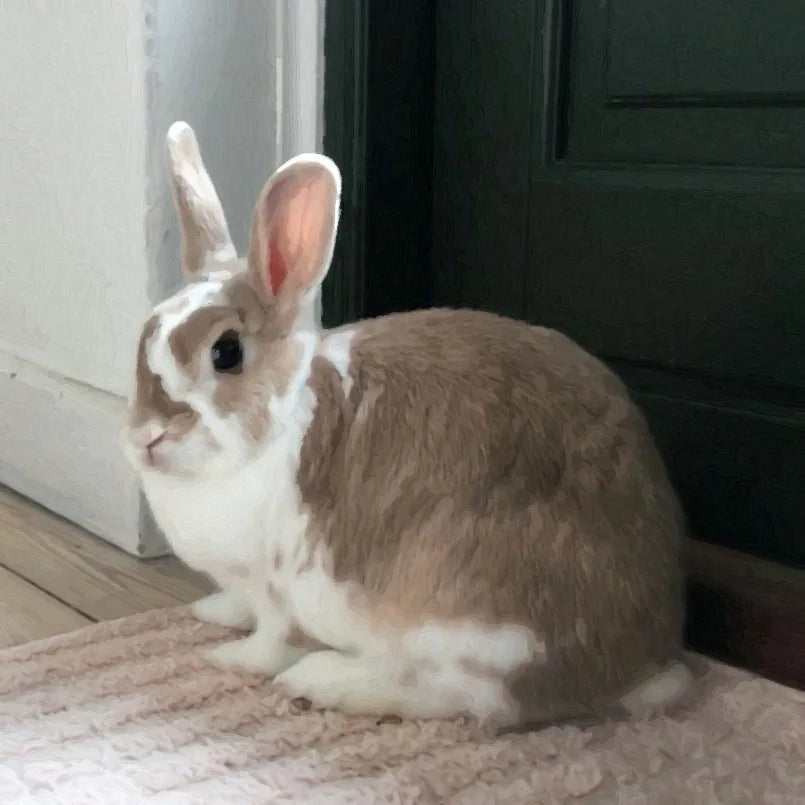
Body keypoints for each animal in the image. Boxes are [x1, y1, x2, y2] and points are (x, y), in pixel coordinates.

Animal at [120, 120, 692, 733]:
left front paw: (229, 658)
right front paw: (209, 611)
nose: (147, 437)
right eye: (146, 333)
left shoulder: (278, 589)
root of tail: (641, 664)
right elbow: (237, 606)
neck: (274, 429)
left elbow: (270, 641)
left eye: (226, 352)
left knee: (465, 699)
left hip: (464, 626)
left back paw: (322, 680)